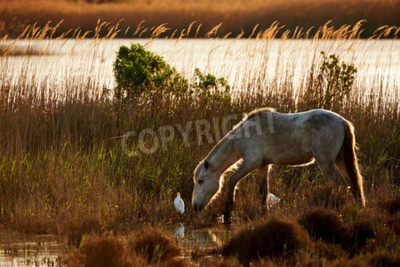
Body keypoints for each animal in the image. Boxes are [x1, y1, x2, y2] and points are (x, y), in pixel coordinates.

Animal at [192, 108, 368, 223]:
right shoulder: (263, 166)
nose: (195, 207)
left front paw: (228, 213)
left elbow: (233, 181)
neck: (243, 137)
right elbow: (263, 191)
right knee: (354, 185)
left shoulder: (251, 162)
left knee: (337, 186)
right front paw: (264, 213)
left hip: (326, 163)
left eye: (200, 181)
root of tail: (341, 121)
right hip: (340, 161)